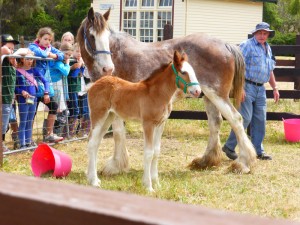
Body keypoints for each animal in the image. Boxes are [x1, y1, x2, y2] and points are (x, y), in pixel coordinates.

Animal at [88, 51, 200, 192]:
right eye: (183, 72)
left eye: (193, 71)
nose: (198, 91)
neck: (156, 94)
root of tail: (94, 85)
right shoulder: (148, 124)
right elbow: (149, 153)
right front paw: (148, 186)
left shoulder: (160, 124)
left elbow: (156, 152)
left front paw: (157, 183)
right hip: (98, 116)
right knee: (92, 143)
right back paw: (93, 181)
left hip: (109, 117)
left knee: (96, 143)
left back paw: (94, 178)